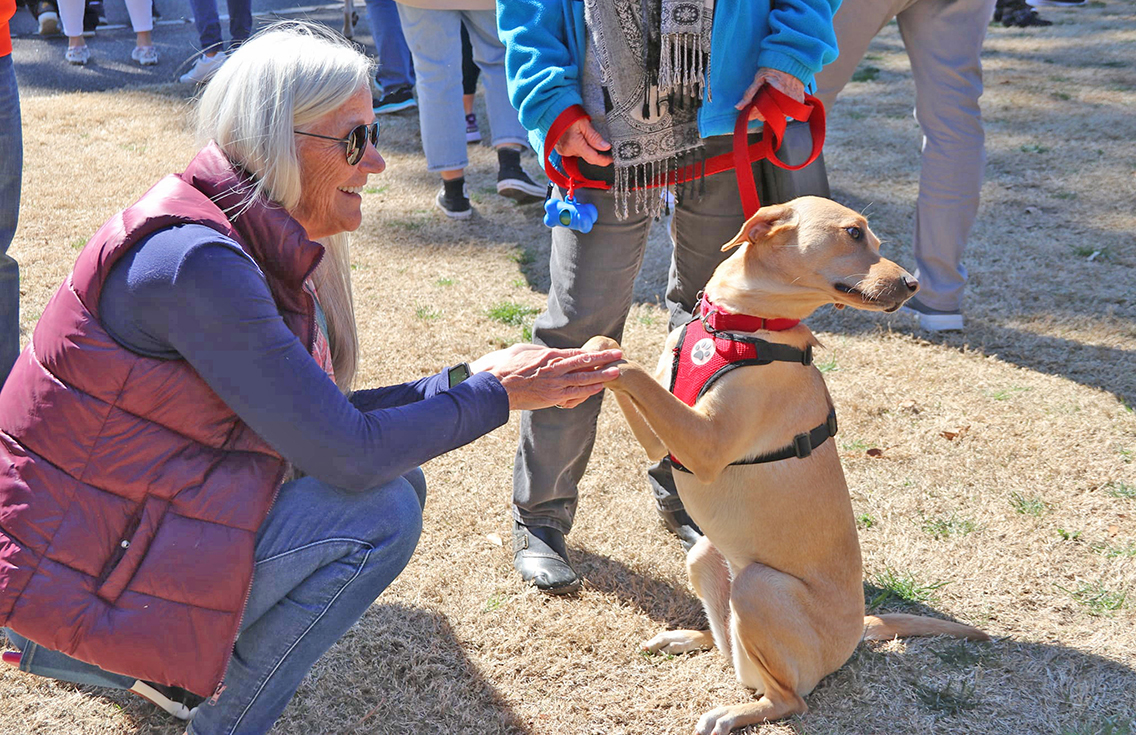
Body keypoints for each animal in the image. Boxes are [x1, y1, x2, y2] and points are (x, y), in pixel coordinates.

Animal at [586, 195, 986, 735]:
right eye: (855, 234)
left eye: (868, 237)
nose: (912, 284)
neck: (736, 325)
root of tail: (857, 633)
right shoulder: (661, 444)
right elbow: (611, 352)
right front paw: (586, 354)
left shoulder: (703, 446)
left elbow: (632, 374)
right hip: (705, 555)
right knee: (732, 650)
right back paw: (688, 638)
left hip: (758, 587)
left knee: (788, 698)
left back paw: (735, 712)